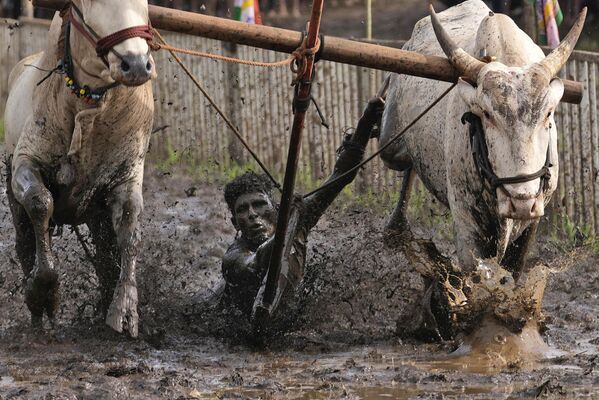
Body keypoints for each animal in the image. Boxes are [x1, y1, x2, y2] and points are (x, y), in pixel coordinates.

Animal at [2, 0, 157, 338]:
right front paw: (43, 293)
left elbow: (130, 231)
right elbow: (40, 203)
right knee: (24, 242)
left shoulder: (126, 177)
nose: (137, 64)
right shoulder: (25, 162)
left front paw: (124, 308)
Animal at [384, 0, 584, 276]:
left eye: (548, 114)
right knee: (403, 164)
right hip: (391, 145)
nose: (521, 203)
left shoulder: (531, 223)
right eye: (486, 114)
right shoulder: (467, 224)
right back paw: (396, 227)